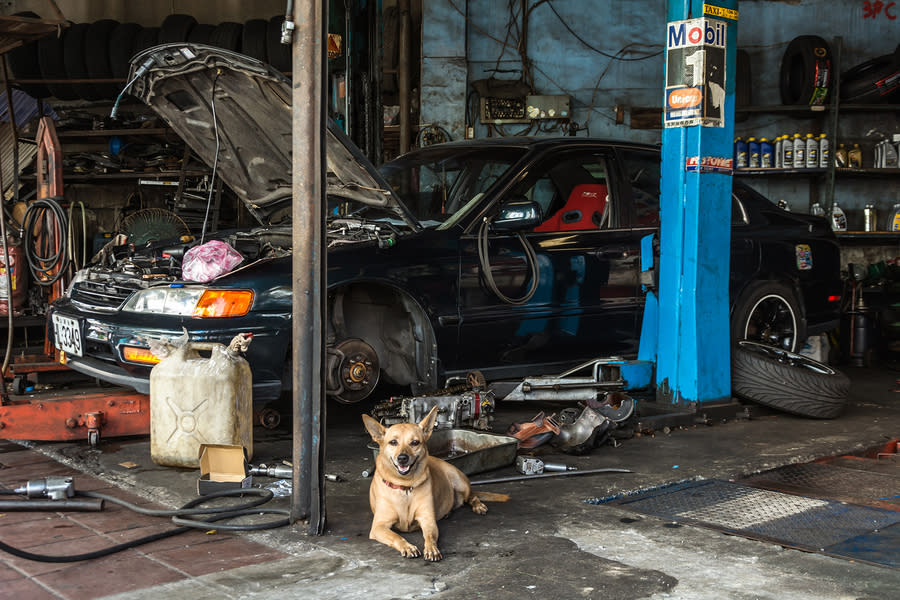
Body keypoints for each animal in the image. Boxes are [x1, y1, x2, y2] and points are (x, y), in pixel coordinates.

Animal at [362, 406, 510, 560]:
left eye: (415, 442)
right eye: (393, 442)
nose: (403, 458)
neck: (405, 486)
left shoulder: (428, 520)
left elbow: (430, 536)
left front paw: (431, 548)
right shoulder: (379, 527)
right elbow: (396, 536)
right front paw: (407, 547)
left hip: (459, 482)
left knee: (472, 497)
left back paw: (478, 506)